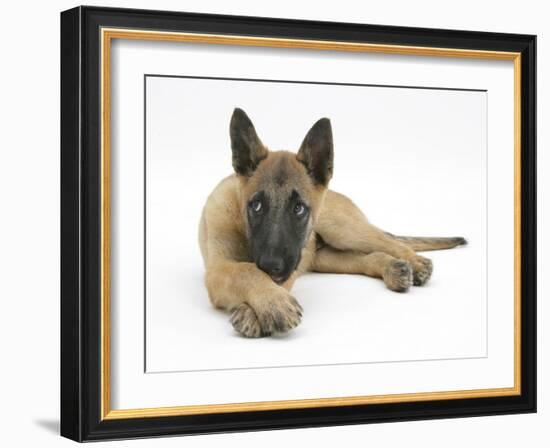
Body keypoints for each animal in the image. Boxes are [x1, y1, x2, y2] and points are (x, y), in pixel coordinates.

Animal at [201, 108, 468, 338]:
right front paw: (270, 301)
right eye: (256, 206)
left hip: (342, 229)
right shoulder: (218, 269)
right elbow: (246, 270)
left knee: (389, 242)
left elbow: (252, 271)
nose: (271, 265)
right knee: (367, 258)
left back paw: (416, 262)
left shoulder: (289, 264)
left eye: (298, 209)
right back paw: (393, 269)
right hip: (325, 257)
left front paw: (261, 308)